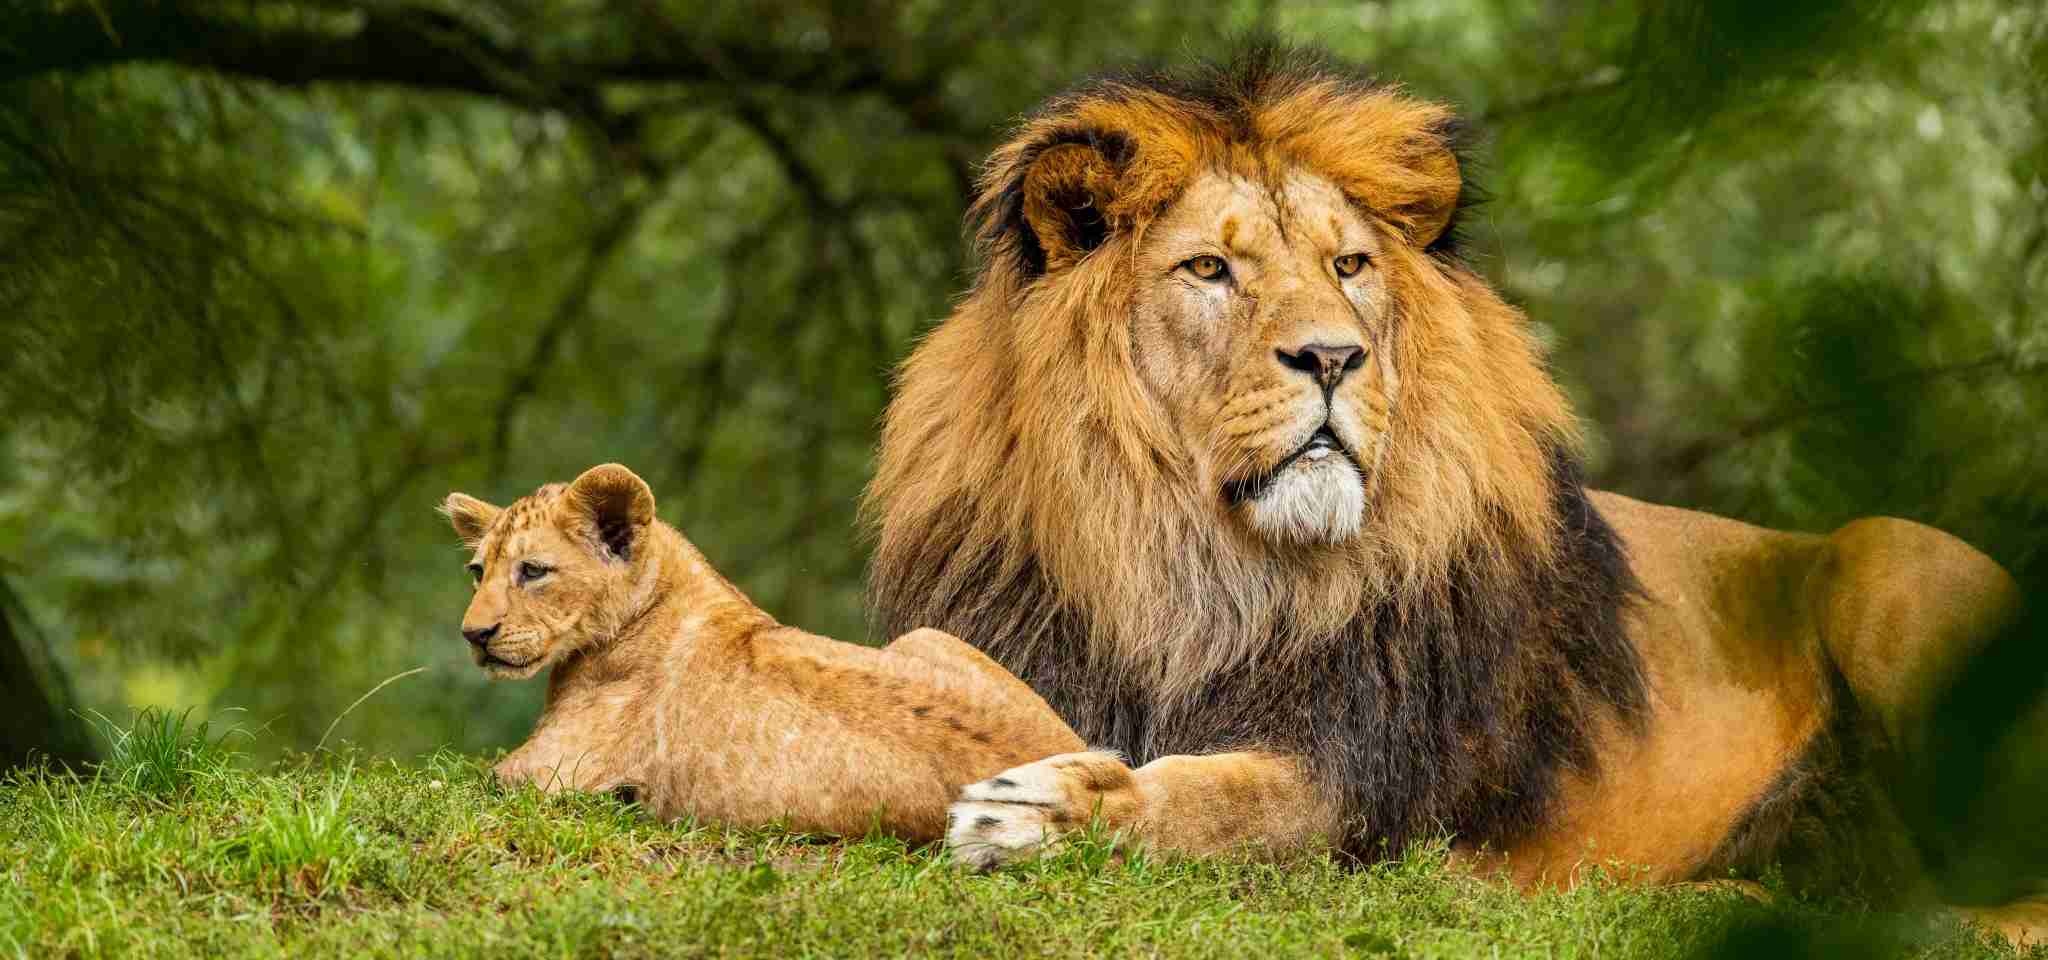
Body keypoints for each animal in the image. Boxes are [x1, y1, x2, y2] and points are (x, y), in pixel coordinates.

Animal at [441, 463, 1083, 840]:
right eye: (476, 572)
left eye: (533, 571)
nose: (474, 634)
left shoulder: (547, 774)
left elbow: (460, 781)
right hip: (925, 635)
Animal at [862, 46, 2040, 942]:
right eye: (1208, 270)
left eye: (1347, 267)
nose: (1332, 358)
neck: (1195, 564)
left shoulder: (1357, 775)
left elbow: (1216, 798)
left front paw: (1044, 811)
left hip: (1892, 564)